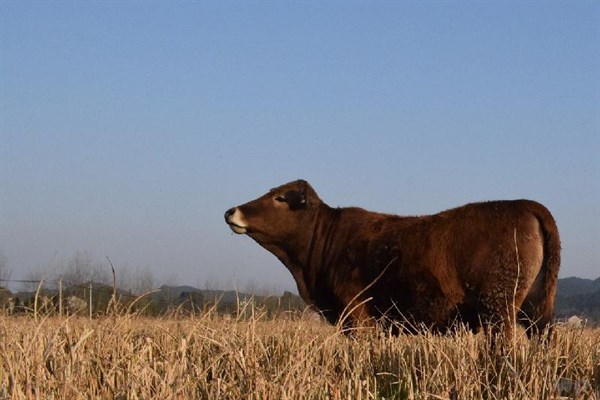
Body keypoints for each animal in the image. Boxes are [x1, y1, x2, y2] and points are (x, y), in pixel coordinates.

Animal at [224, 180, 556, 340]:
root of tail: (524, 204)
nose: (231, 211)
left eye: (280, 198)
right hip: (536, 310)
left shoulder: (356, 315)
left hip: (498, 308)